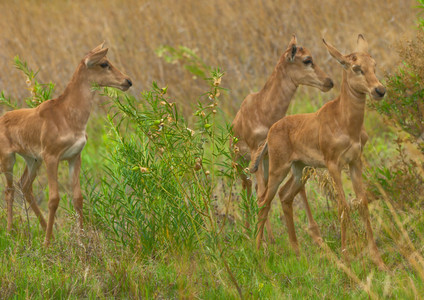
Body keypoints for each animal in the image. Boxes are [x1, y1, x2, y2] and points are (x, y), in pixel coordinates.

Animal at [0, 42, 132, 246]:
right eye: (104, 63)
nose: (127, 81)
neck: (67, 115)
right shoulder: (51, 158)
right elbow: (54, 199)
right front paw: (46, 244)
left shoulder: (74, 157)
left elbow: (78, 197)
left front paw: (82, 240)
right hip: (9, 159)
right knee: (9, 189)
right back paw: (10, 232)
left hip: (33, 160)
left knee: (25, 186)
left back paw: (48, 232)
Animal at [234, 34, 332, 241]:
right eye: (307, 59)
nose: (329, 81)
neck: (261, 108)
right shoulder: (256, 152)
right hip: (242, 164)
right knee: (248, 186)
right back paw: (251, 234)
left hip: (266, 162)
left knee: (258, 188)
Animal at [252, 35, 388, 270]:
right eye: (356, 67)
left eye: (374, 64)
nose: (379, 90)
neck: (344, 120)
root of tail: (270, 135)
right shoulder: (334, 165)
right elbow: (343, 207)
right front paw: (345, 258)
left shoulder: (355, 162)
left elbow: (362, 204)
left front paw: (378, 261)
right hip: (279, 170)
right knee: (263, 202)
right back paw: (259, 252)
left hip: (299, 170)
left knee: (285, 196)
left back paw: (297, 253)